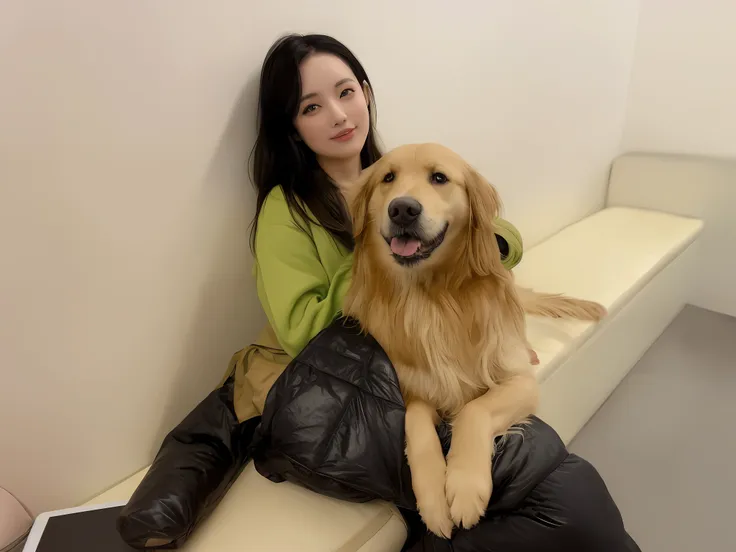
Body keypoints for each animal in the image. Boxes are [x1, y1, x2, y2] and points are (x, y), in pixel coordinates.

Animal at [342, 143, 608, 540]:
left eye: (439, 177)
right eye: (387, 177)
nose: (402, 209)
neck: (432, 297)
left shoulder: (520, 380)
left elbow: (473, 410)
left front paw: (465, 487)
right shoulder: (413, 389)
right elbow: (416, 426)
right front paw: (434, 499)